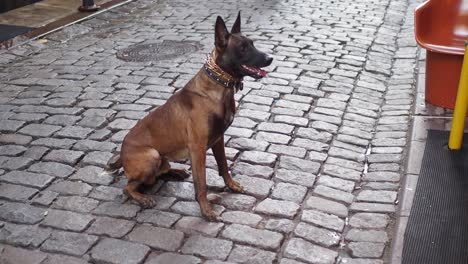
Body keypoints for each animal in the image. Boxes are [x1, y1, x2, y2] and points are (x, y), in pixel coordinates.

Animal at [106, 12, 272, 221]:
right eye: (243, 48)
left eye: (252, 44)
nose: (270, 58)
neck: (218, 87)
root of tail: (121, 155)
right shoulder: (197, 148)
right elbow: (201, 183)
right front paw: (206, 210)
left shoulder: (218, 139)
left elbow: (224, 166)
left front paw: (231, 185)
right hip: (151, 156)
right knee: (129, 187)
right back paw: (143, 198)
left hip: (161, 159)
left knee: (157, 174)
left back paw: (176, 172)